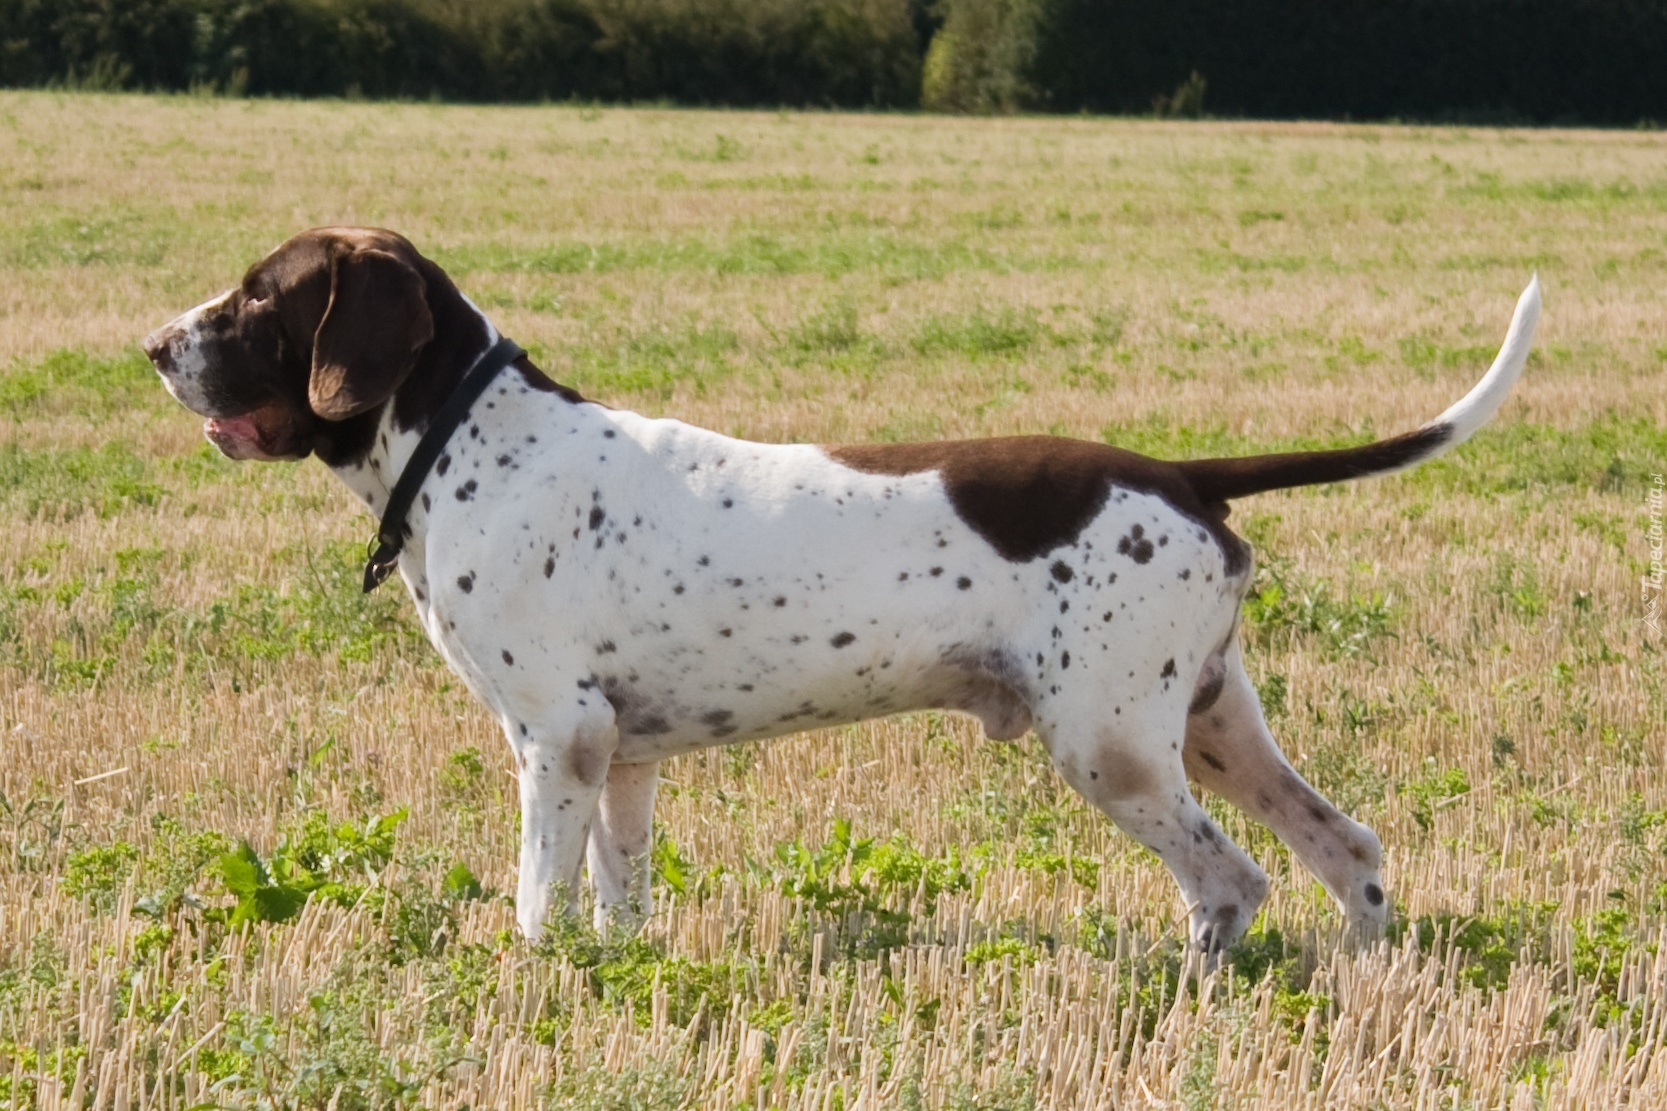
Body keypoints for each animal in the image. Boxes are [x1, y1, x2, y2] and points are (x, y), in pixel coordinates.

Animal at [150, 228, 1540, 947]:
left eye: (263, 295)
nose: (154, 343)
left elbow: (538, 906)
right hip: (1205, 723)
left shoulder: (555, 737)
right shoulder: (621, 756)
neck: (467, 440)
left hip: (1108, 744)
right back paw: (1358, 976)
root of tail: (1178, 473)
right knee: (1345, 847)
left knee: (1230, 882)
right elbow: (615, 903)